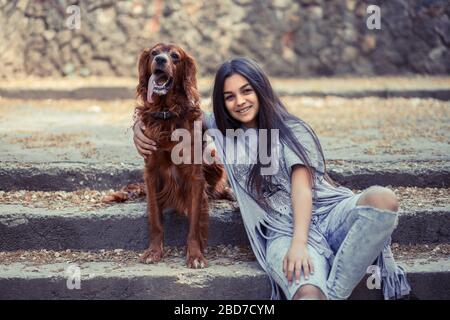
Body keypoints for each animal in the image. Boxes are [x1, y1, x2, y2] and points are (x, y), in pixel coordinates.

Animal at [134, 42, 232, 268]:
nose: (160, 60)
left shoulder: (195, 177)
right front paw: (154, 251)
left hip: (212, 157)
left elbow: (194, 223)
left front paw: (195, 255)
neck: (166, 113)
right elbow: (155, 218)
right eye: (154, 52)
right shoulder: (151, 173)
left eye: (175, 56)